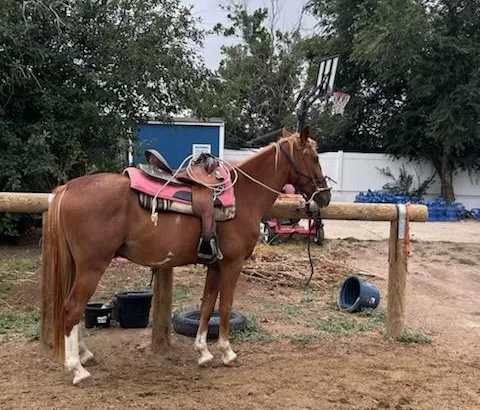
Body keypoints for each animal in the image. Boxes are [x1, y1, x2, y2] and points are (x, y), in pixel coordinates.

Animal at [46, 125, 330, 384]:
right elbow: (225, 306)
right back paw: (77, 369)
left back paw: (85, 355)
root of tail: (68, 188)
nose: (325, 196)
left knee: (75, 310)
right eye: (315, 157)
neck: (245, 195)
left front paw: (203, 352)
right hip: (93, 266)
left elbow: (207, 304)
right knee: (72, 308)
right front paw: (227, 353)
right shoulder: (233, 264)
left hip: (78, 266)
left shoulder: (215, 264)